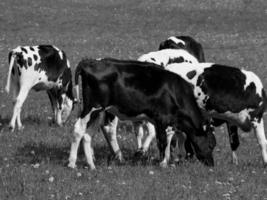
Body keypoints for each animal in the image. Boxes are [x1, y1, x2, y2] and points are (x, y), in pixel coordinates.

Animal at [68, 58, 217, 170]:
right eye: (211, 145)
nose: (211, 164)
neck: (175, 92)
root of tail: (91, 62)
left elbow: (167, 139)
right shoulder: (161, 119)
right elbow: (162, 141)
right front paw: (163, 163)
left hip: (99, 111)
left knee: (88, 135)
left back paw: (91, 165)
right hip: (91, 107)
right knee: (78, 129)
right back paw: (72, 163)